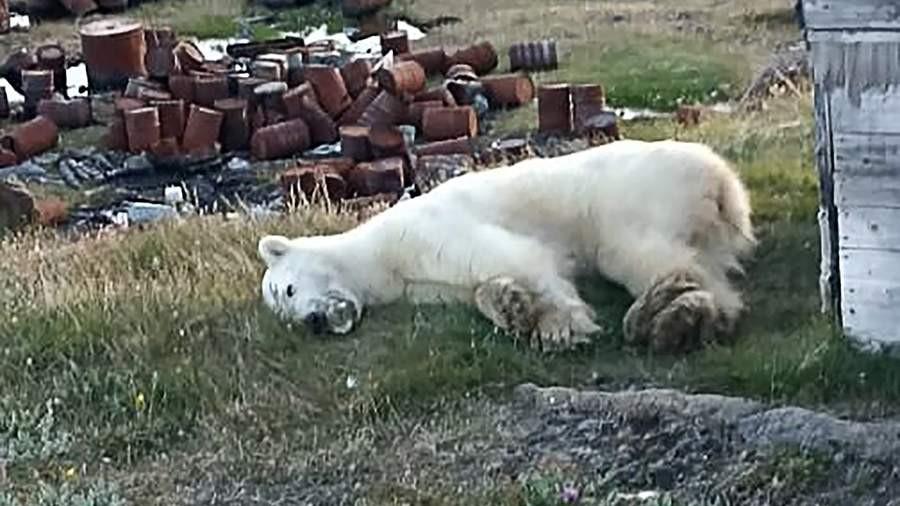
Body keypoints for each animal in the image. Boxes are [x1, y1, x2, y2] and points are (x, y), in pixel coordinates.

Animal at [256, 138, 756, 352]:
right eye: (285, 316)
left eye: (288, 289)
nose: (315, 323)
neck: (377, 255)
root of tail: (720, 178)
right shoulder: (421, 283)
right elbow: (476, 286)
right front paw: (511, 306)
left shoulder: (424, 232)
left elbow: (515, 256)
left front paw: (560, 327)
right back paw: (688, 318)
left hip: (635, 194)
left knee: (637, 252)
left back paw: (669, 318)